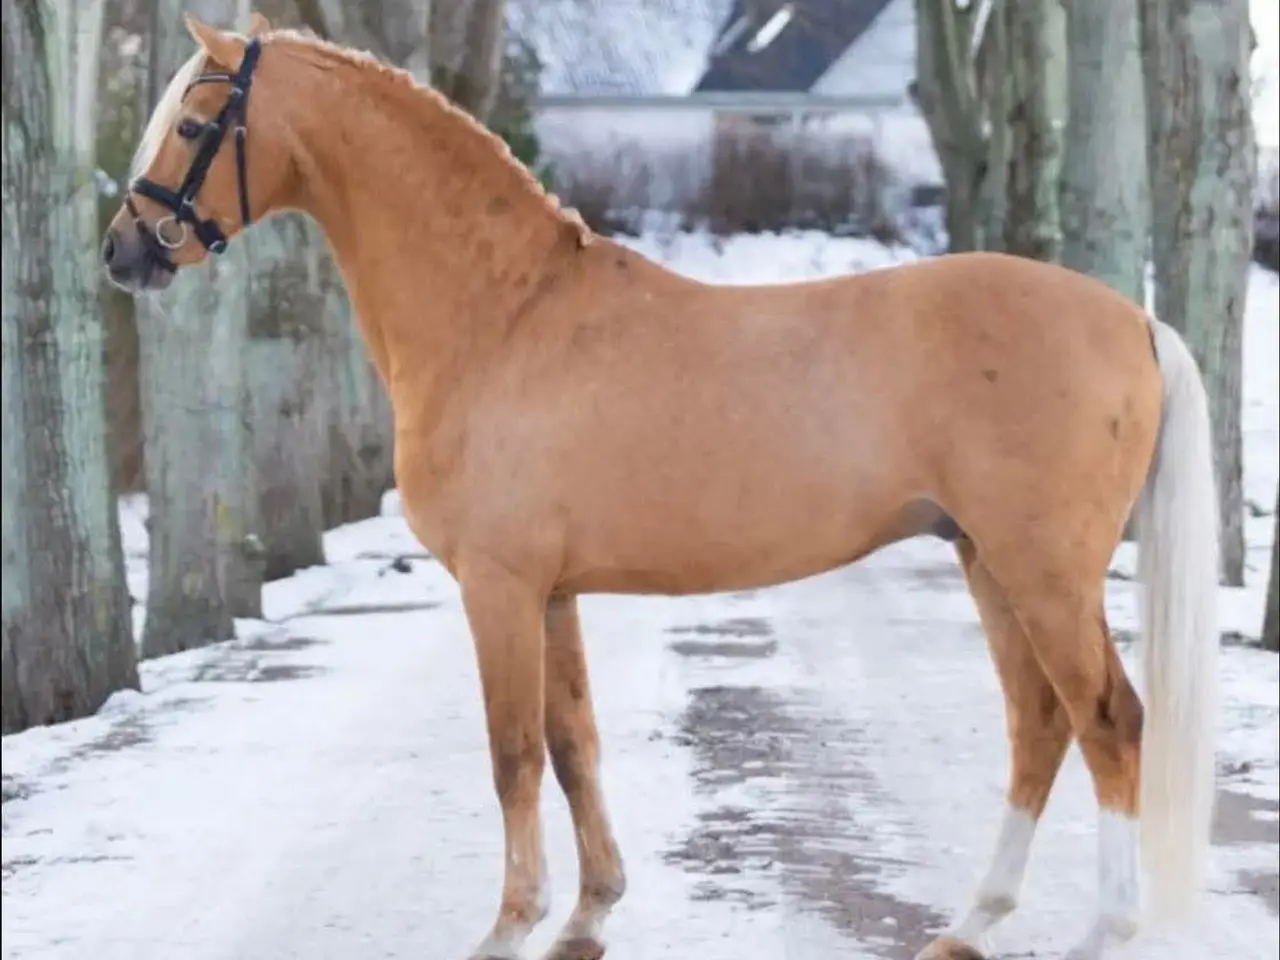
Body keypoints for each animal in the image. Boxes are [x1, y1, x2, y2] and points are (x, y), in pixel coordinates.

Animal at [104, 14, 1221, 960]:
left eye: (196, 122)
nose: (123, 253)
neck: (504, 319)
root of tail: (1131, 318)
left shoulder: (498, 587)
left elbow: (513, 752)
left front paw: (509, 927)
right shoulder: (551, 592)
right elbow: (572, 746)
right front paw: (587, 917)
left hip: (1042, 573)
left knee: (1108, 721)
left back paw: (1101, 930)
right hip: (987, 561)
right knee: (1039, 726)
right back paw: (969, 923)